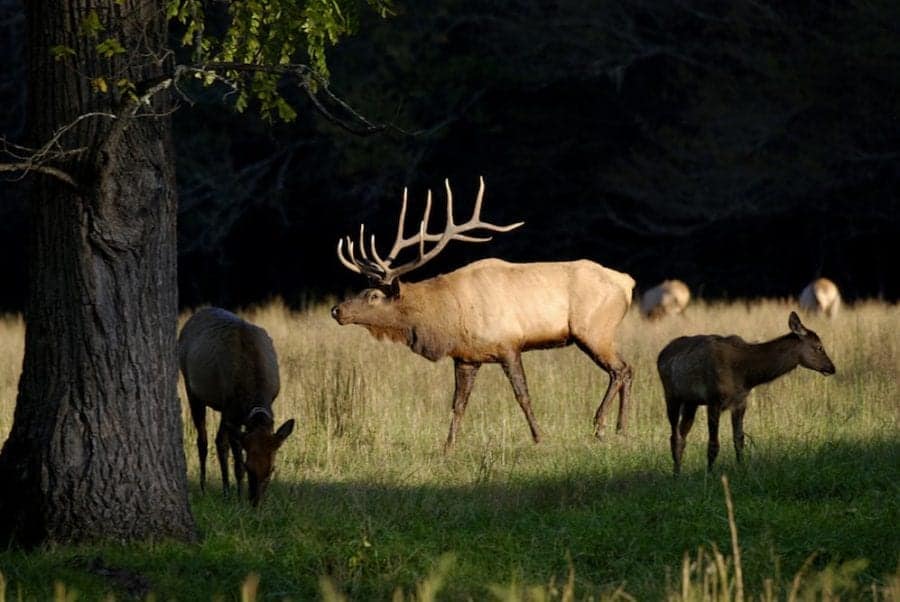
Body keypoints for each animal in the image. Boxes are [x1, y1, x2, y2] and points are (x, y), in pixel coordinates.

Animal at [178, 308, 298, 504]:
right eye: (249, 467)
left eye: (272, 469)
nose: (256, 502)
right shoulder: (231, 411)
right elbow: (236, 462)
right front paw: (240, 498)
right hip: (192, 388)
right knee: (203, 440)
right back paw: (205, 488)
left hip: (224, 408)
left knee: (219, 440)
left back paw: (226, 491)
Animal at [328, 176, 632, 448]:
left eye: (374, 295)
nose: (336, 310)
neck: (448, 318)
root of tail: (627, 283)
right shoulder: (466, 357)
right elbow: (458, 404)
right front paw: (448, 446)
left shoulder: (509, 344)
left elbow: (523, 395)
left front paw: (539, 437)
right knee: (626, 370)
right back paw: (621, 428)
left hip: (593, 330)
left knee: (620, 370)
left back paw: (601, 427)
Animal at [652, 310, 836, 474]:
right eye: (819, 347)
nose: (832, 368)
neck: (746, 375)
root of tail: (661, 354)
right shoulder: (713, 399)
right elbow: (713, 444)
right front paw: (709, 475)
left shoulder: (740, 401)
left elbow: (739, 440)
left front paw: (742, 470)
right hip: (671, 394)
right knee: (674, 436)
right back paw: (676, 475)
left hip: (691, 401)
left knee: (682, 433)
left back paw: (678, 471)